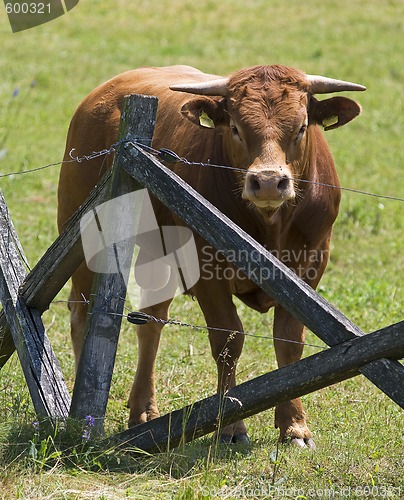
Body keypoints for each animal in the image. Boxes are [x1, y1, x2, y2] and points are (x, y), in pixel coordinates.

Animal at [58, 64, 364, 448]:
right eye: (234, 127)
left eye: (301, 126)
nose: (268, 182)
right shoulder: (206, 269)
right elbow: (228, 340)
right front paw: (231, 426)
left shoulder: (311, 265)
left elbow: (289, 342)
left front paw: (294, 425)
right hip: (86, 235)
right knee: (82, 313)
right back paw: (81, 409)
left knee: (152, 321)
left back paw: (143, 409)